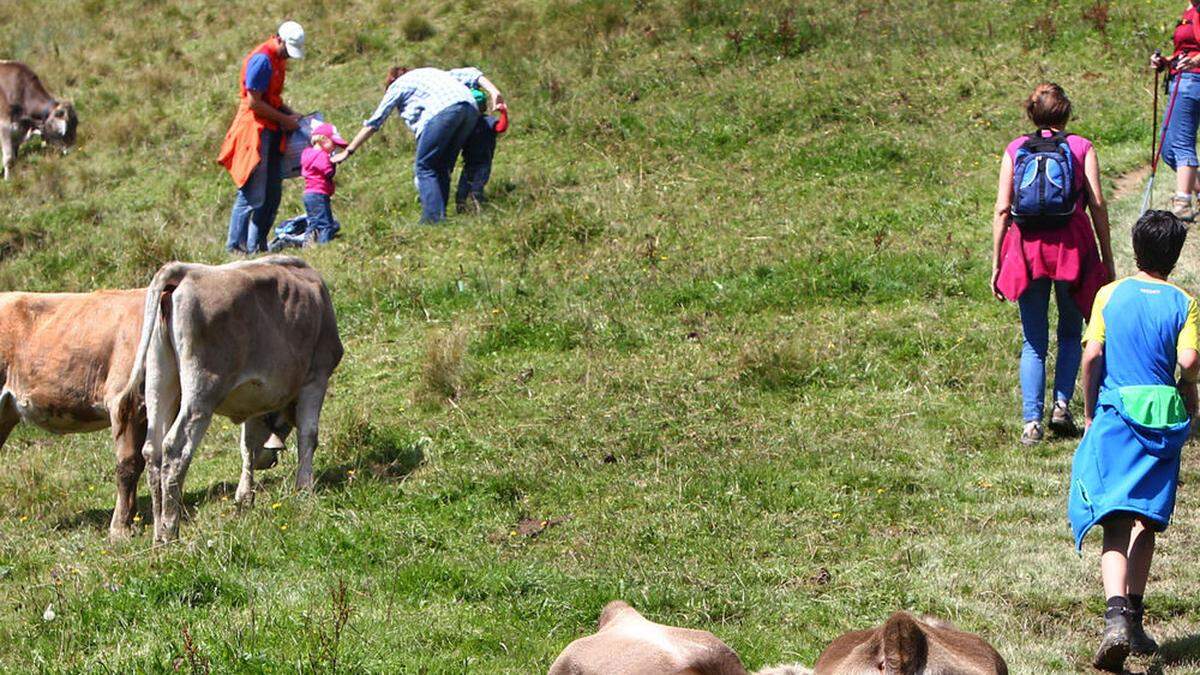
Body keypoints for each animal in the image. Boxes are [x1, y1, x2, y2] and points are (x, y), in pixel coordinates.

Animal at [115, 254, 343, 538]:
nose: (270, 460)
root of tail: (184, 271)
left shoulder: (257, 397)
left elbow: (248, 445)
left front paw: (245, 497)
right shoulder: (316, 377)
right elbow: (308, 435)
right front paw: (304, 489)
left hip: (160, 383)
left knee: (152, 452)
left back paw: (159, 532)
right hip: (202, 391)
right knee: (175, 449)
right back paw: (169, 530)